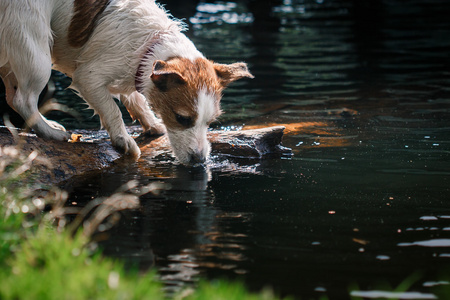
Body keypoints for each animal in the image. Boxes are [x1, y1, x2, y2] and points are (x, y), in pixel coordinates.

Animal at [0, 0, 253, 165]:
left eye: (211, 122)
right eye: (182, 118)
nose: (200, 161)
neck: (150, 43)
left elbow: (136, 100)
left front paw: (152, 124)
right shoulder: (89, 77)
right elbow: (112, 110)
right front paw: (123, 140)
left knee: (11, 96)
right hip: (34, 47)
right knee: (23, 99)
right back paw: (49, 132)